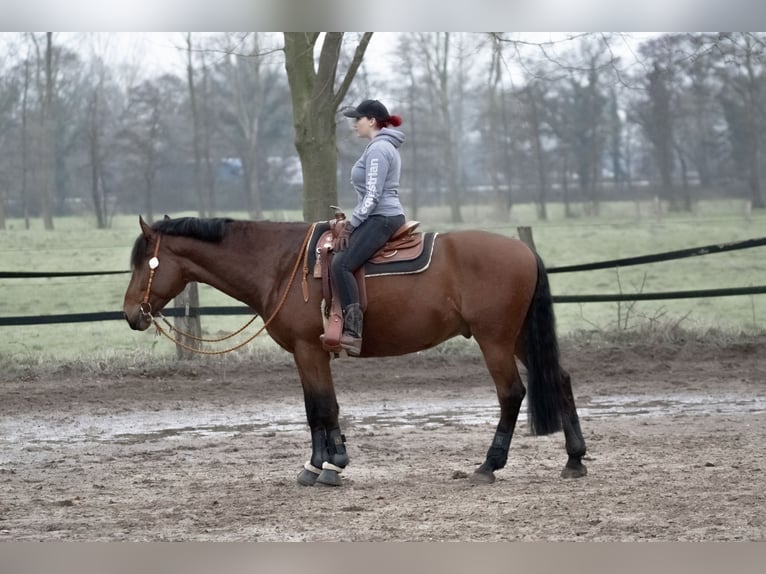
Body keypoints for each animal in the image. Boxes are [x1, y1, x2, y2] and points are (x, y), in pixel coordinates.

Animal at [121, 218, 588, 488]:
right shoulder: (306, 354)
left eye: (145, 263)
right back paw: (574, 460)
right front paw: (320, 463)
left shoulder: (309, 349)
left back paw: (489, 466)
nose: (130, 314)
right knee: (560, 380)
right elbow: (317, 407)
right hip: (519, 337)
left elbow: (323, 407)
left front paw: (329, 466)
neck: (282, 265)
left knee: (511, 394)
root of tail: (523, 250)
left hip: (495, 340)